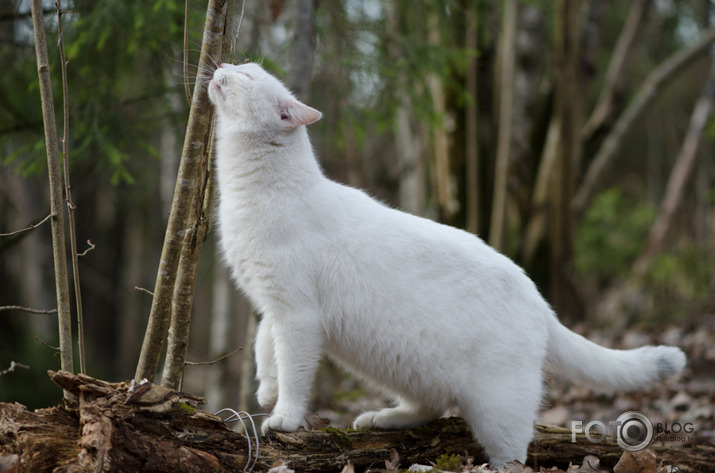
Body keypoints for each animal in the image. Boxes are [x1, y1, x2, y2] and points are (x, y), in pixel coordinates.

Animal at [206, 60, 684, 466]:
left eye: (247, 75)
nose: (222, 64)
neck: (251, 191)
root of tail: (538, 299)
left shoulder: (297, 315)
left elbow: (294, 372)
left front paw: (283, 418)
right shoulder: (271, 305)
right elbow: (264, 349)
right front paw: (265, 391)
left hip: (499, 406)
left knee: (514, 454)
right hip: (398, 362)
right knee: (431, 406)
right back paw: (384, 418)